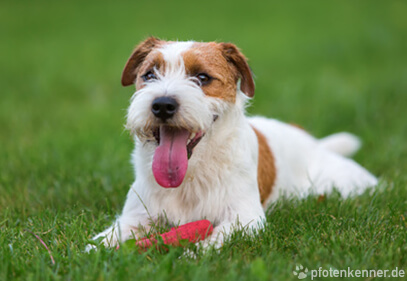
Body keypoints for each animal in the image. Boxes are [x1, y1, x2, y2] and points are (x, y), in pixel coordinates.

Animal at [89, 37, 380, 249]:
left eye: (202, 78)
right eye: (149, 75)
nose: (162, 105)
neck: (191, 176)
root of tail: (314, 142)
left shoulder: (245, 218)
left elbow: (213, 240)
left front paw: (192, 255)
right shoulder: (134, 217)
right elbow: (104, 241)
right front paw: (96, 252)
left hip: (341, 186)